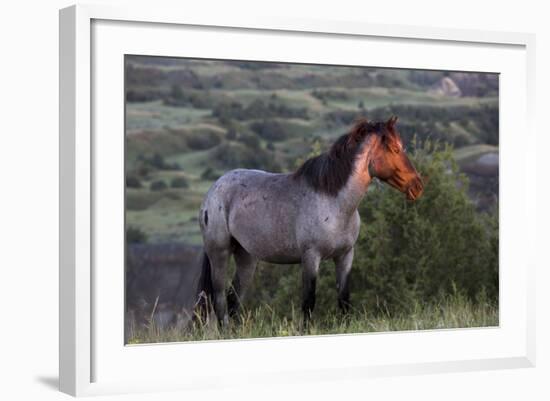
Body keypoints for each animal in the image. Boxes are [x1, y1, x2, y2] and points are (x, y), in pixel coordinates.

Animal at [196, 115, 424, 324]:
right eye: (395, 149)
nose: (418, 186)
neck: (334, 203)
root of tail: (213, 190)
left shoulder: (345, 256)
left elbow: (344, 300)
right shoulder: (311, 257)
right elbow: (308, 302)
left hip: (247, 257)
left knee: (233, 300)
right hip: (220, 253)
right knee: (220, 301)